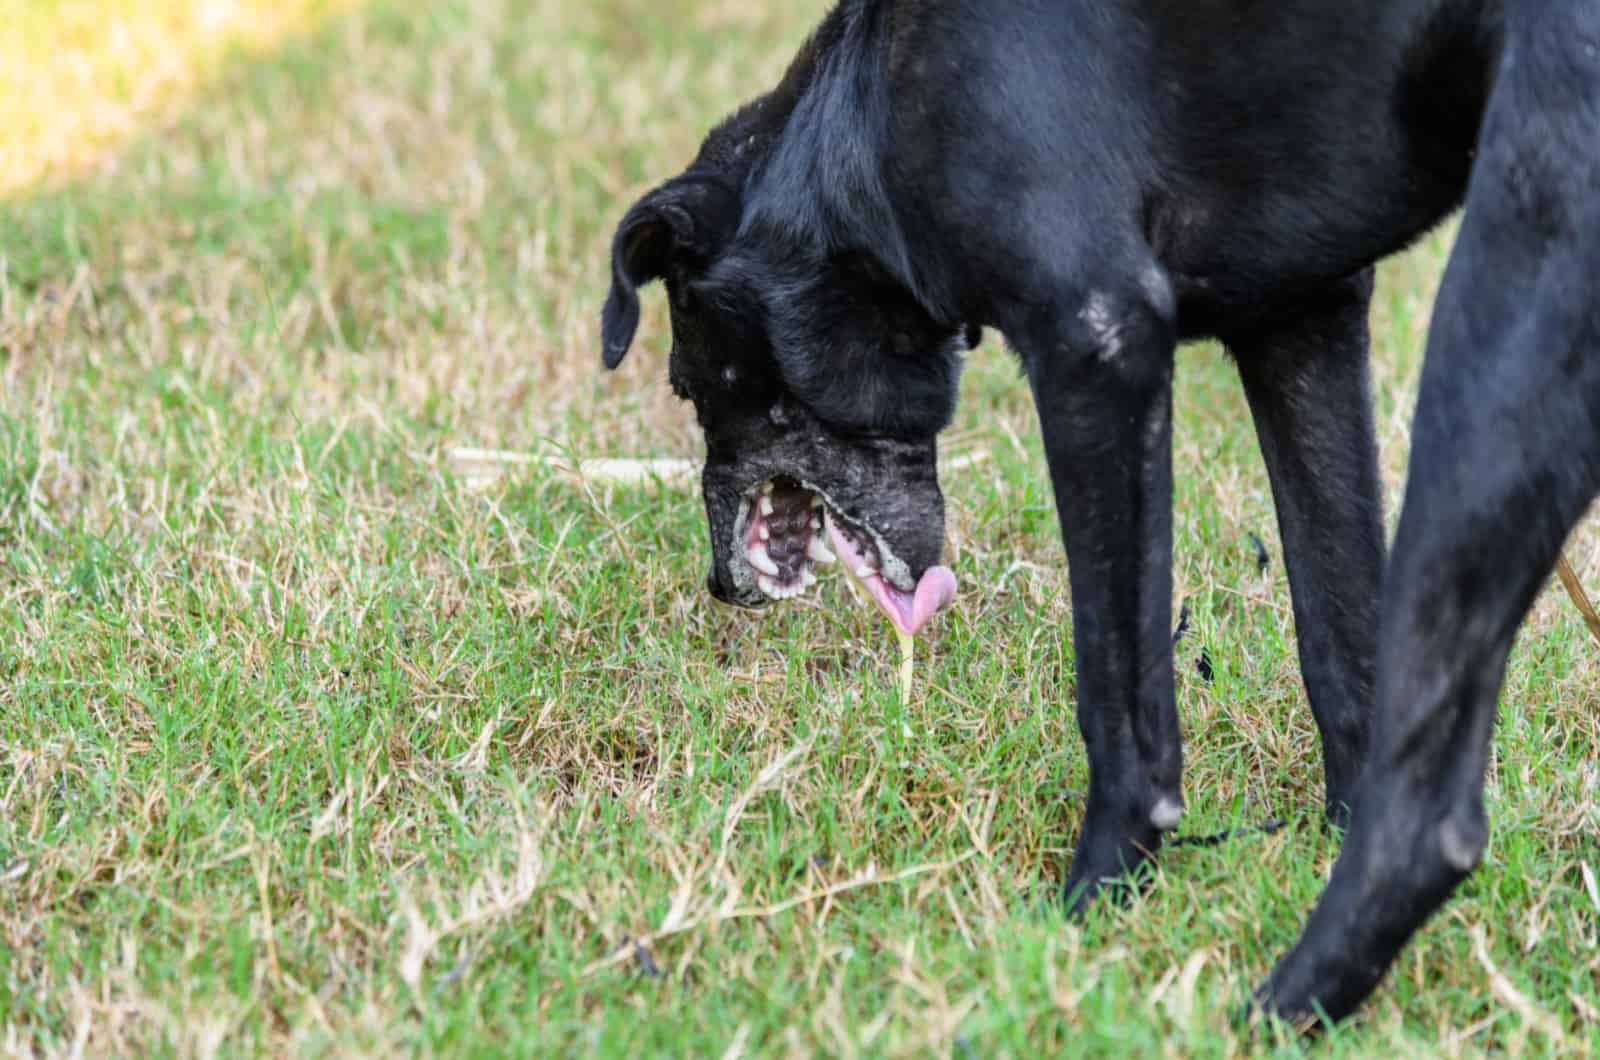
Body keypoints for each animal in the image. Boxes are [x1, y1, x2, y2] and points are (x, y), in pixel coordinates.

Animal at [601, 0, 1600, 1031]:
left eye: (688, 387)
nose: (719, 586)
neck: (863, 116)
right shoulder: (1302, 320)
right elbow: (1342, 638)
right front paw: (1324, 836)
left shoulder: (1097, 345)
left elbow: (1119, 695)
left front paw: (1090, 908)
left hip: (1505, 318)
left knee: (1433, 821)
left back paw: (1266, 1014)